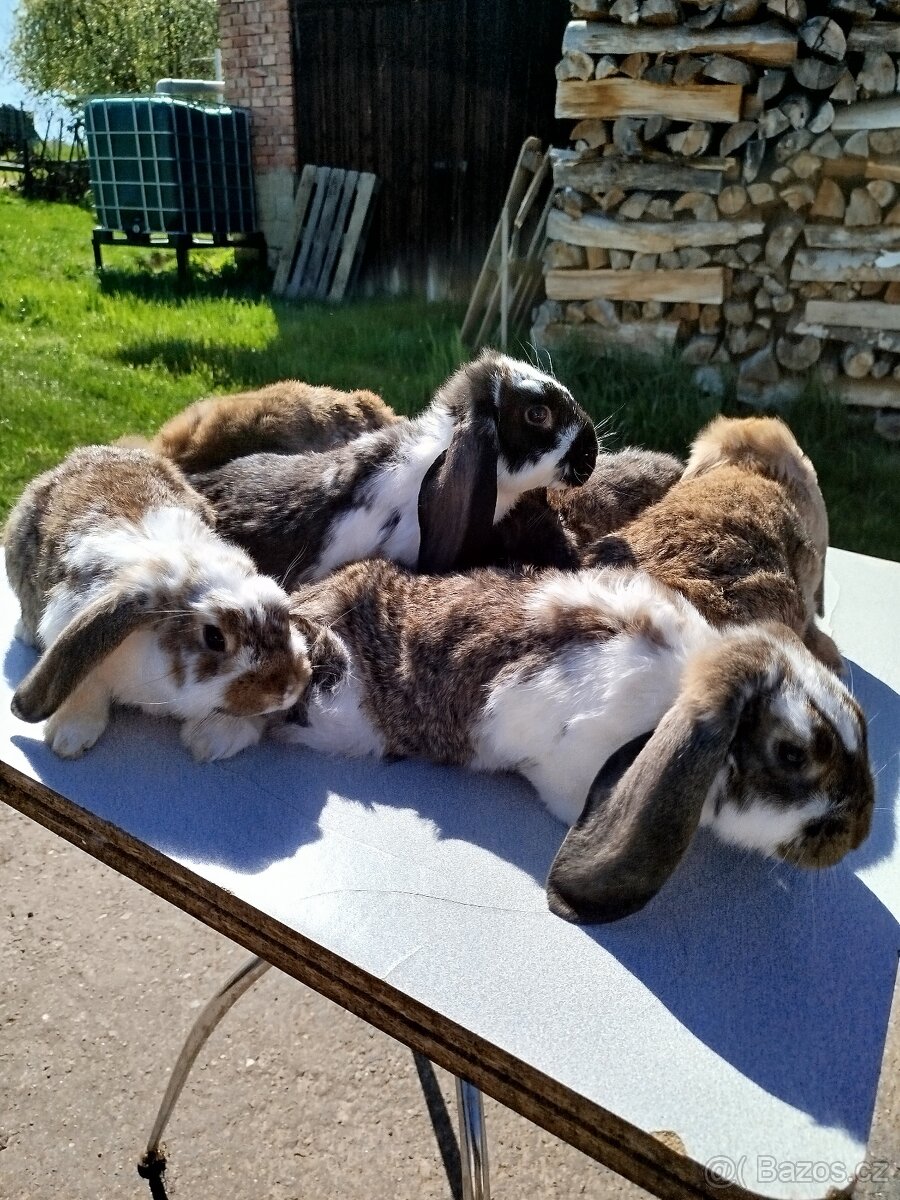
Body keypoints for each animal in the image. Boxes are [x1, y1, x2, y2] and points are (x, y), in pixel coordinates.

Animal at [4, 445, 317, 762]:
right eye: (214, 638)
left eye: (284, 615)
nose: (288, 689)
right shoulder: (66, 620)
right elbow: (83, 683)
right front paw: (69, 737)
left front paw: (215, 738)